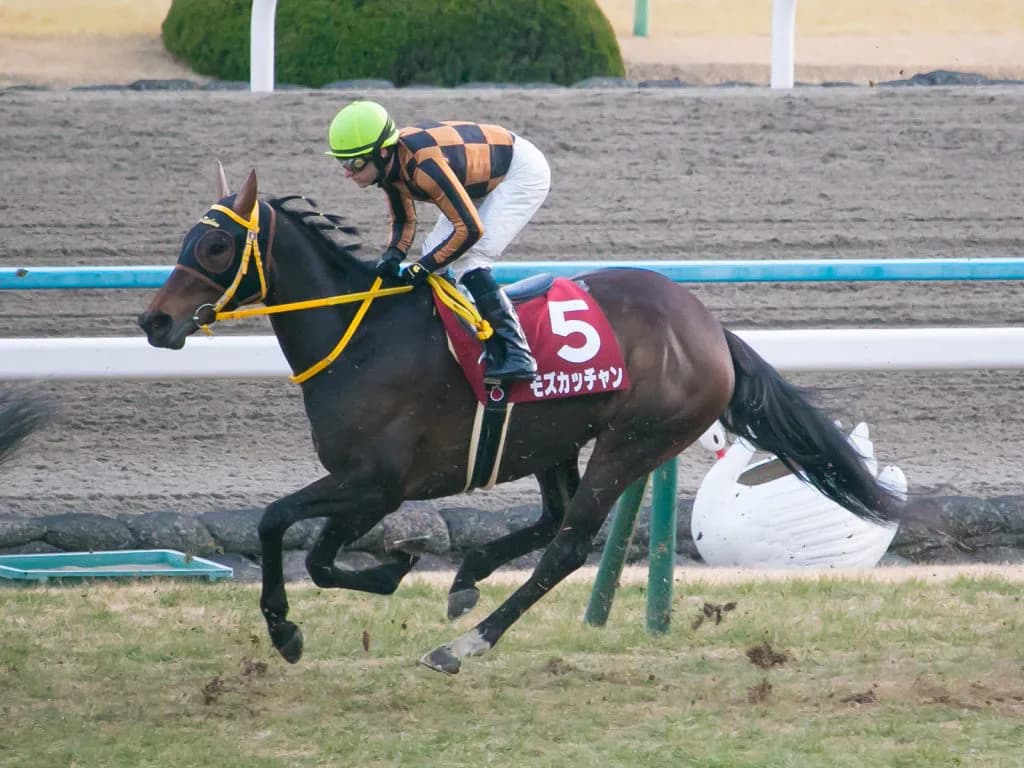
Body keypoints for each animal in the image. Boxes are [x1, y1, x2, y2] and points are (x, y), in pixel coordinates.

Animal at [138, 167, 903, 674]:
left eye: (213, 248)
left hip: (635, 438)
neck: (360, 339)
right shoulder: (367, 489)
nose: (154, 322)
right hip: (553, 436)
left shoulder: (377, 483)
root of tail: (710, 329)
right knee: (551, 519)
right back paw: (468, 577)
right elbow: (320, 558)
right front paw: (394, 568)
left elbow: (277, 523)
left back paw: (463, 644)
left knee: (569, 542)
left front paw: (288, 628)